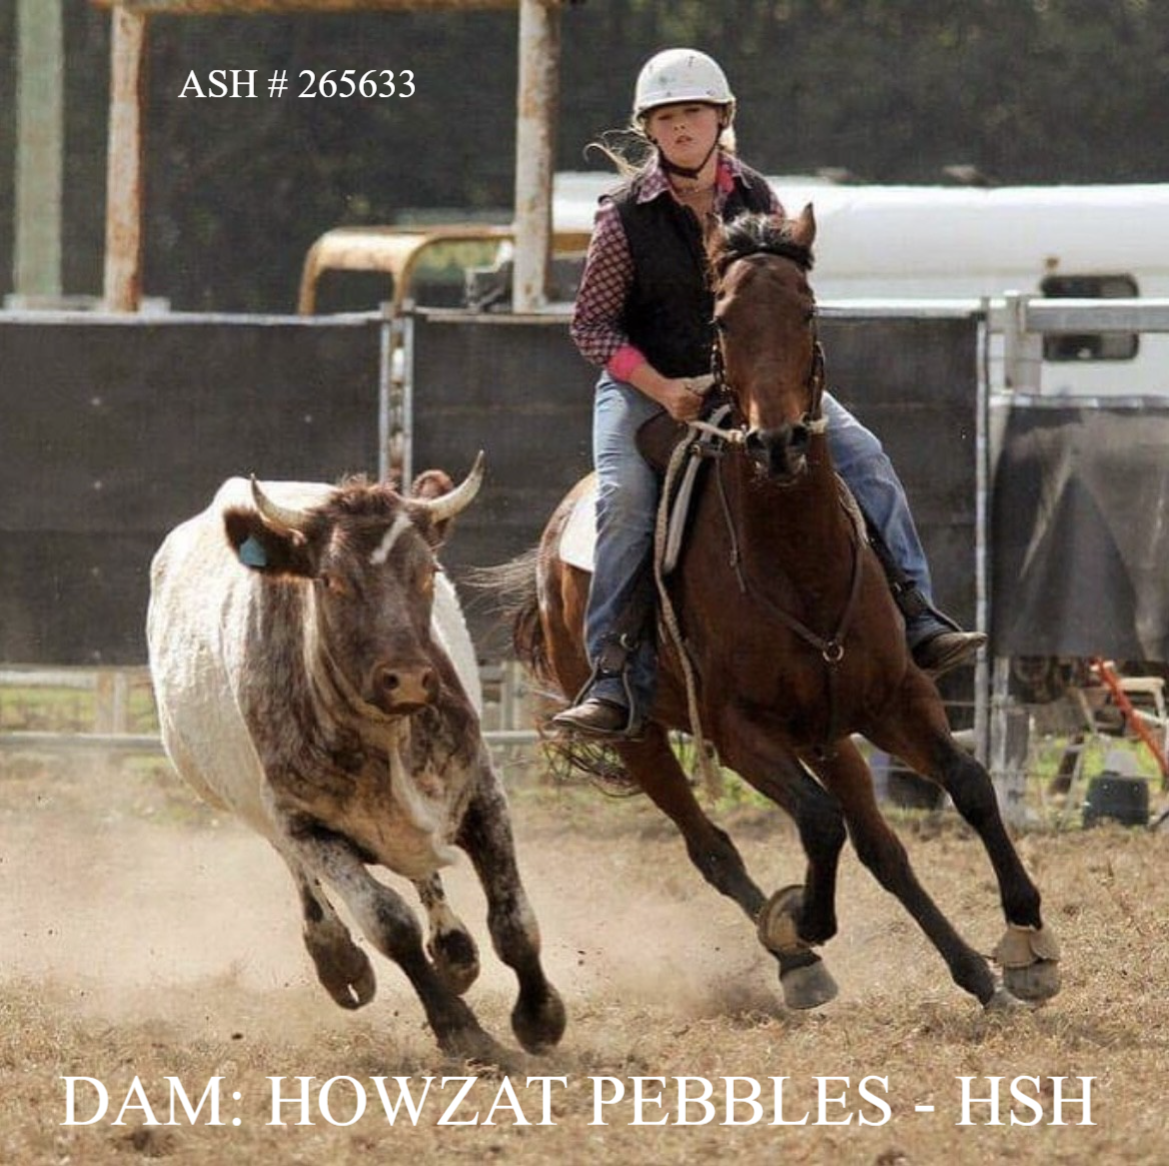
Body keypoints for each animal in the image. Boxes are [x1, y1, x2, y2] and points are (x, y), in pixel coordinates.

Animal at [493, 205, 1061, 1014]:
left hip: (827, 733)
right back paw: (797, 961)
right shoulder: (739, 732)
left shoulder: (896, 695)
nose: (778, 442)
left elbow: (970, 786)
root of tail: (551, 539)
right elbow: (818, 825)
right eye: (723, 320)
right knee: (712, 848)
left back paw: (975, 976)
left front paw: (1026, 941)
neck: (800, 567)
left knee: (883, 848)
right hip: (645, 738)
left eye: (807, 310)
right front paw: (802, 923)